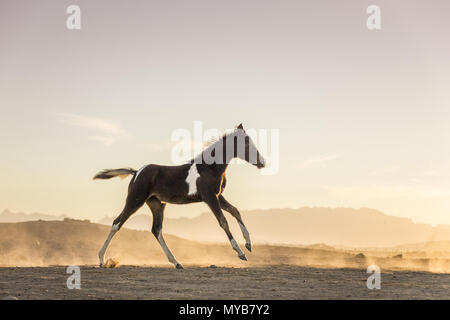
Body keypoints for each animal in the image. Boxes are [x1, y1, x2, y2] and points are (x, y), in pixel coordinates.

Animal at [93, 124, 266, 268]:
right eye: (246, 143)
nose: (262, 162)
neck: (209, 168)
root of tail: (136, 173)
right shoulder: (209, 197)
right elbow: (223, 221)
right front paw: (241, 253)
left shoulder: (218, 196)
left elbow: (235, 211)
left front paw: (249, 244)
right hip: (135, 200)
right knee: (117, 223)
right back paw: (101, 259)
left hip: (157, 204)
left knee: (156, 230)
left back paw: (176, 262)